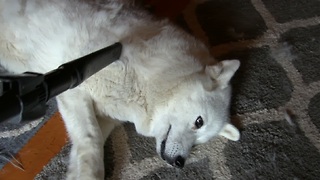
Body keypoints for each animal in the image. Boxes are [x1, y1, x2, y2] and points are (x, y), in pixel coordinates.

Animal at [0, 0, 240, 179]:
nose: (180, 163)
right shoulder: (72, 89)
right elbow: (91, 138)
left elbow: (89, 148)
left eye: (200, 141)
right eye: (199, 122)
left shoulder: (104, 118)